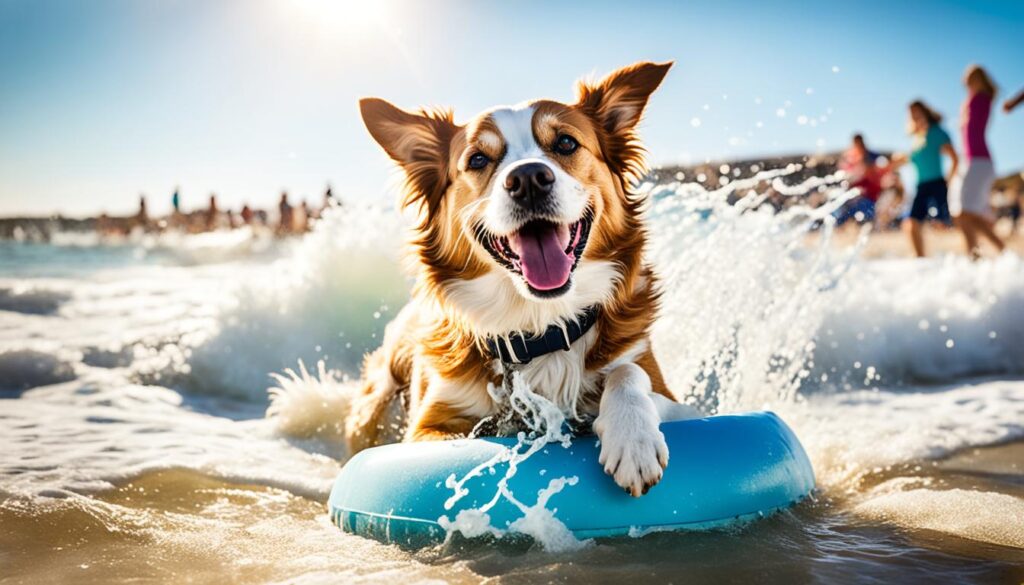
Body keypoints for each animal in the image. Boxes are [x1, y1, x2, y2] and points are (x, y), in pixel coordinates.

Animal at [342, 61, 688, 495]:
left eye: (566, 143)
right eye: (477, 160)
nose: (528, 179)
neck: (541, 324)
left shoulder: (670, 393)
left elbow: (628, 372)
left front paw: (634, 439)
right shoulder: (426, 428)